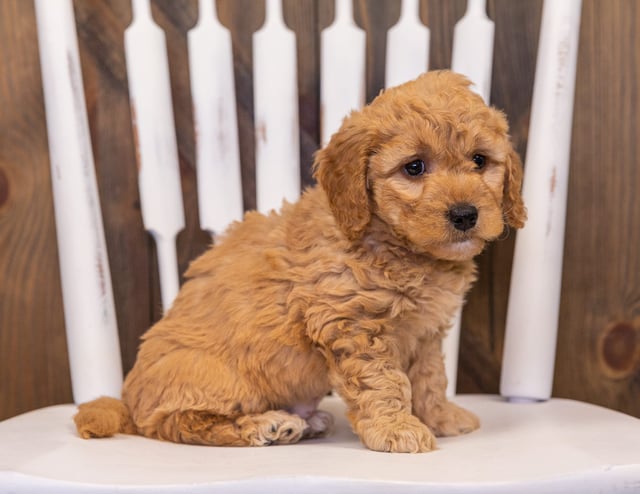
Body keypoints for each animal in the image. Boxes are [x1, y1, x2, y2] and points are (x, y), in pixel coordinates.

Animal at [75, 69, 524, 452]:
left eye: (480, 160)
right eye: (414, 167)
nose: (465, 214)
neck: (396, 245)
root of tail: (128, 401)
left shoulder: (426, 333)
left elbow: (430, 378)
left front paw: (440, 417)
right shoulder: (352, 325)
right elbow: (384, 382)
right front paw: (397, 429)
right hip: (210, 377)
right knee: (177, 422)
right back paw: (267, 425)